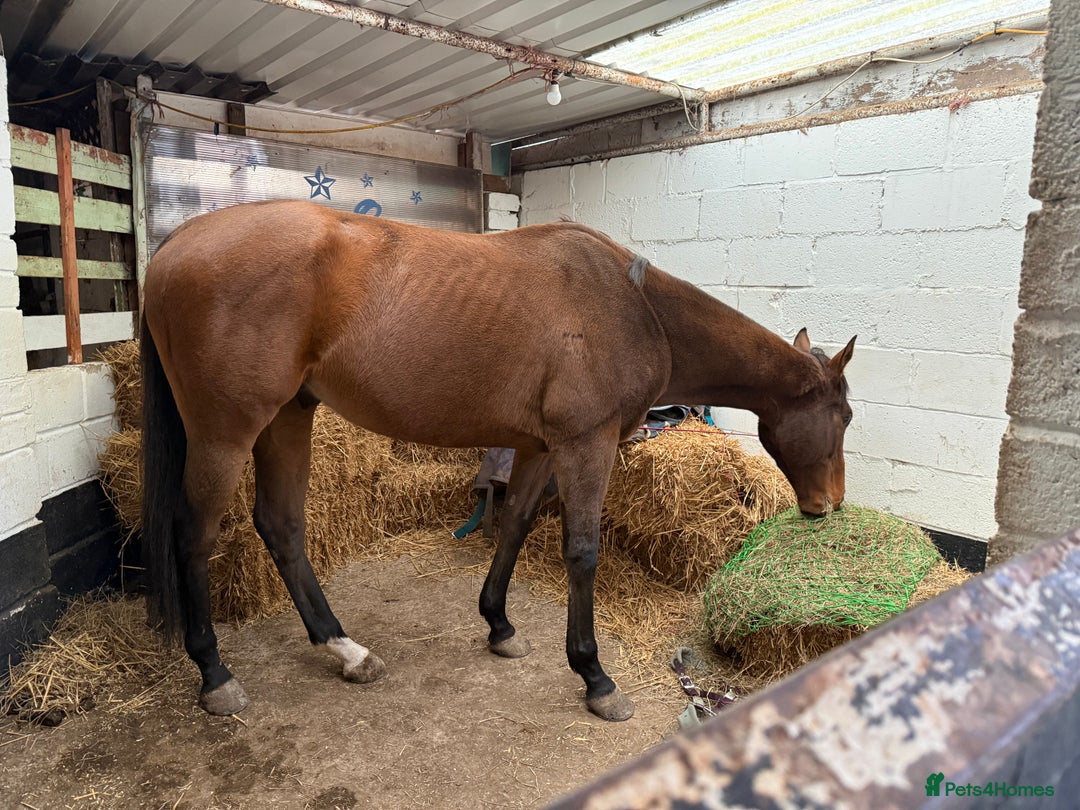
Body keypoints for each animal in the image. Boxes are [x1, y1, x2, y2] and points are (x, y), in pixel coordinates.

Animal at [140, 199, 855, 722]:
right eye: (844, 417)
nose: (828, 506)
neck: (638, 307)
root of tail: (174, 247)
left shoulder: (541, 447)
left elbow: (513, 524)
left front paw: (499, 625)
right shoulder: (587, 444)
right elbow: (581, 551)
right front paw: (594, 676)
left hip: (288, 416)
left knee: (282, 526)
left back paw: (345, 649)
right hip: (225, 432)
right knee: (194, 533)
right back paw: (215, 673)